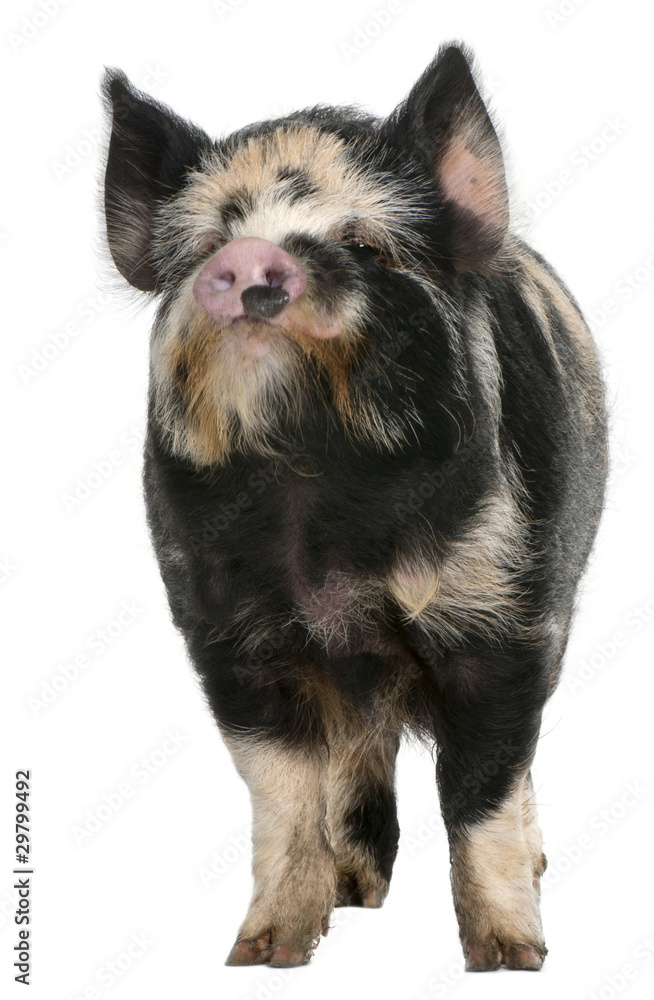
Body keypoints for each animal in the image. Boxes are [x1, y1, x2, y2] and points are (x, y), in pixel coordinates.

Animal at [101, 44, 607, 970]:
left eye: (363, 244)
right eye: (207, 246)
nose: (250, 259)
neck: (319, 495)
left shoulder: (504, 624)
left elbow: (481, 790)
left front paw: (510, 958)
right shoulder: (230, 640)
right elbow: (281, 794)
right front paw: (261, 953)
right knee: (360, 754)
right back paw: (354, 890)